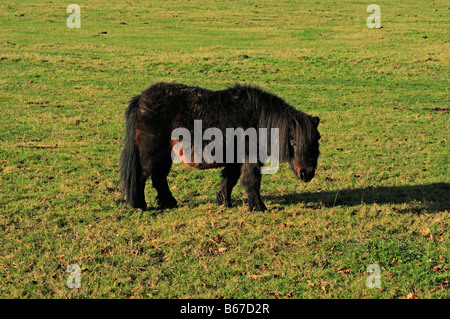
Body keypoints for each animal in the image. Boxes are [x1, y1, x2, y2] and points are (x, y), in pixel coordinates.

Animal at [119, 82, 320, 212]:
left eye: (317, 140)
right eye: (293, 141)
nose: (306, 174)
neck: (259, 120)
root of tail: (141, 99)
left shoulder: (236, 159)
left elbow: (229, 180)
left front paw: (224, 202)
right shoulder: (250, 158)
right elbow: (251, 181)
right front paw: (259, 207)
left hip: (165, 154)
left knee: (159, 178)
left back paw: (169, 202)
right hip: (152, 152)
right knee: (142, 176)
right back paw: (139, 205)